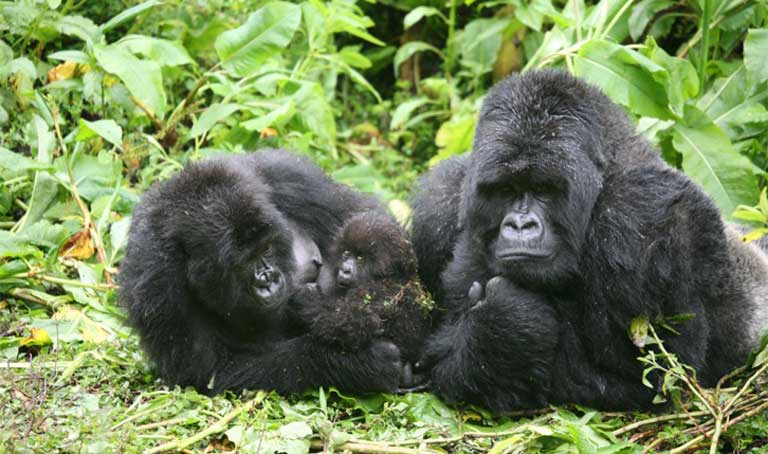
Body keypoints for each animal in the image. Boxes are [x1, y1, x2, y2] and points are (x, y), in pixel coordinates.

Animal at [117, 150, 404, 394]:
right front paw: (357, 363)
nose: (269, 279)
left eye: (266, 249)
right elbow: (209, 373)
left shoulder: (289, 175)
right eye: (243, 263)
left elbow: (366, 221)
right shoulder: (155, 272)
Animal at [308, 210, 438, 386]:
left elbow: (354, 324)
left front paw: (305, 301)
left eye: (360, 259)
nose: (345, 269)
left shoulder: (375, 292)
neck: (394, 276)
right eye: (346, 254)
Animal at [412, 70, 768, 412]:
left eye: (544, 189)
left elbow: (662, 378)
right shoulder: (439, 201)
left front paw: (503, 320)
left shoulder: (642, 214)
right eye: (506, 190)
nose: (520, 224)